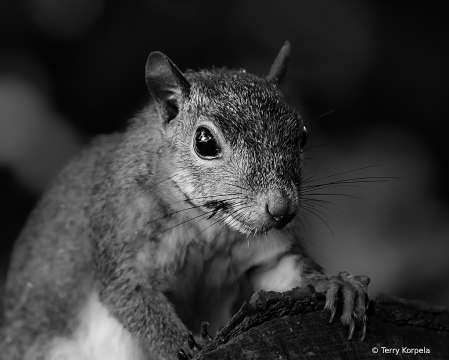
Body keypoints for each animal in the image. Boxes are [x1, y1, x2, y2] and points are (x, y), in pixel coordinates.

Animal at [0, 43, 368, 360]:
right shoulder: (122, 239)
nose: (282, 209)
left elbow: (285, 269)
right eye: (204, 142)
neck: (208, 228)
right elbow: (134, 301)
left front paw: (335, 283)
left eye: (302, 136)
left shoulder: (265, 252)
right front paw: (186, 346)